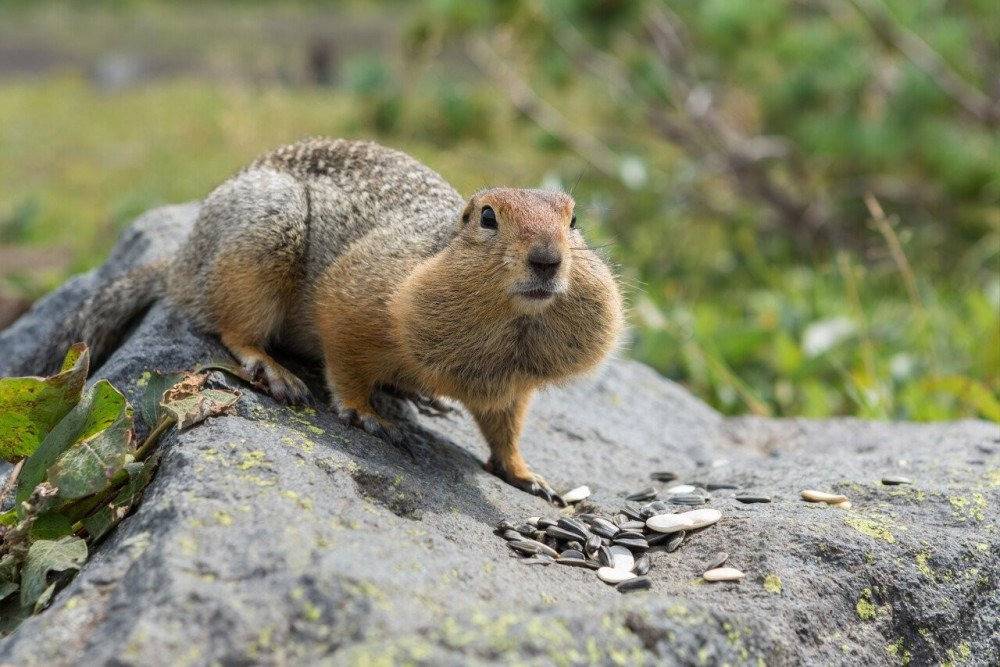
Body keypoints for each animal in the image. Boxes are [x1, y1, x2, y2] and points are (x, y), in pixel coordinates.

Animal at [58, 140, 620, 500]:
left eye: (574, 219)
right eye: (487, 217)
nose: (548, 258)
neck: (506, 332)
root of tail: (180, 261)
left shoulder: (511, 385)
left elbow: (507, 429)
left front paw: (531, 476)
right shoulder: (354, 305)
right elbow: (346, 363)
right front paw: (366, 414)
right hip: (257, 246)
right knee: (230, 326)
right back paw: (276, 371)